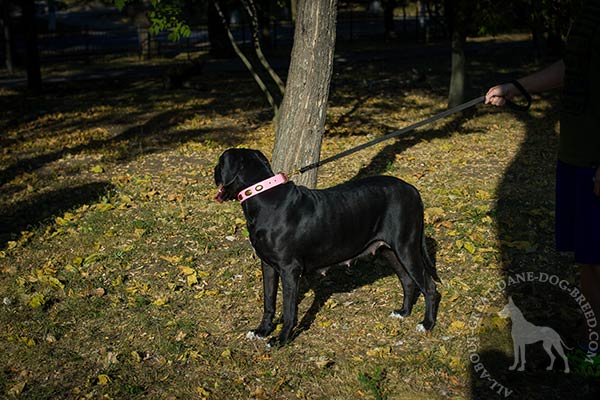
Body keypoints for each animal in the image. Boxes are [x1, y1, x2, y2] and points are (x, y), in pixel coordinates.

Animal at [213, 148, 438, 346]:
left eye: (220, 162)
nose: (214, 171)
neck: (263, 197)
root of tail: (413, 190)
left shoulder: (289, 269)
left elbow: (289, 310)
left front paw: (282, 339)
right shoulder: (268, 265)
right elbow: (269, 301)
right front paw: (262, 331)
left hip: (406, 247)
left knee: (429, 287)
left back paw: (427, 324)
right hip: (388, 249)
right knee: (408, 281)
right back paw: (403, 313)